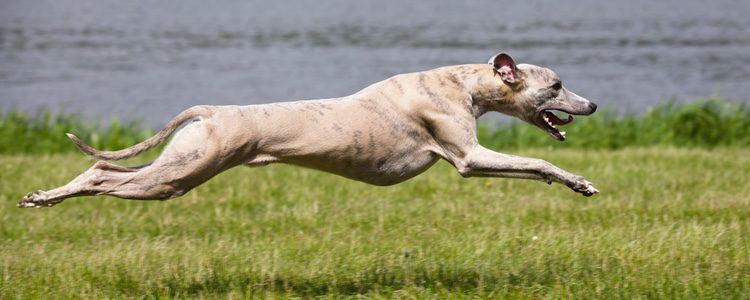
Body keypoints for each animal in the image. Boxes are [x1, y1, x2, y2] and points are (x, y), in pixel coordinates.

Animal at [17, 52, 604, 207]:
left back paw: (41, 196)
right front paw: (578, 180)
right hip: (174, 177)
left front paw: (572, 184)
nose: (595, 103)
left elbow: (536, 168)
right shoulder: (468, 159)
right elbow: (539, 161)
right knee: (100, 175)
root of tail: (210, 111)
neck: (461, 82)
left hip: (176, 166)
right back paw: (45, 198)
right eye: (556, 85)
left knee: (99, 167)